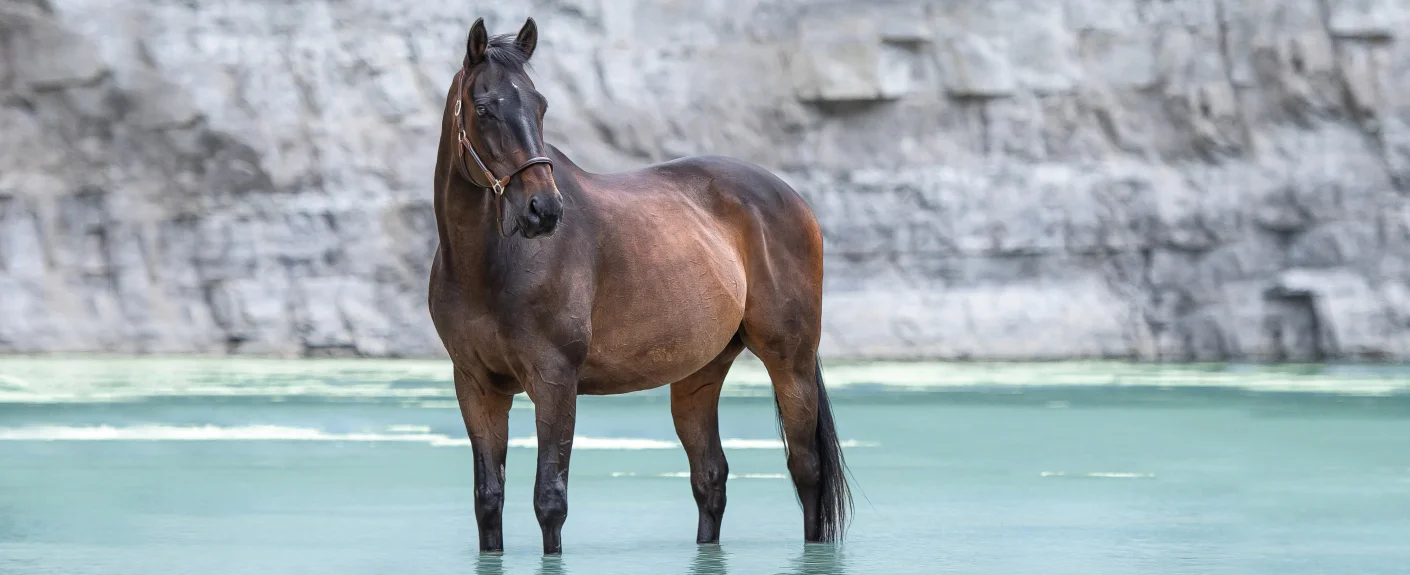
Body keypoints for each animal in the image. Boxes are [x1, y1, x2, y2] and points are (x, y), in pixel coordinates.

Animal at [427, 17, 851, 555]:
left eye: (540, 104)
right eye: (483, 108)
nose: (544, 210)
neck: (485, 266)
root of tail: (792, 198)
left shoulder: (554, 381)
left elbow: (550, 501)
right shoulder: (476, 386)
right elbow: (488, 501)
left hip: (790, 361)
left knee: (806, 469)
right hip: (699, 374)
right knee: (710, 478)